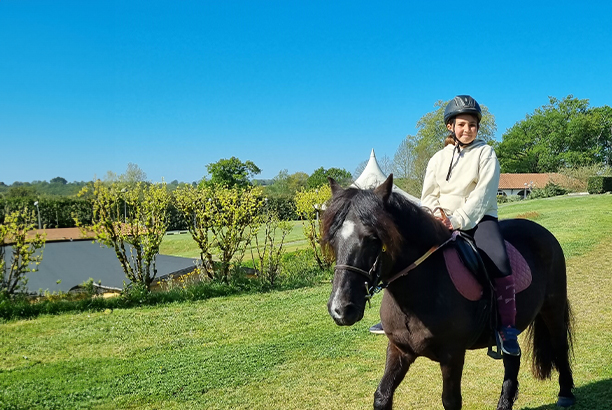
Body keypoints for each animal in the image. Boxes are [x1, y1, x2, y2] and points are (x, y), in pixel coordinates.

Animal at [322, 176, 576, 410]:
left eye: (374, 238)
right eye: (333, 239)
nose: (341, 309)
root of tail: (542, 231)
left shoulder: (452, 355)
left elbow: (451, 401)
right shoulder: (399, 350)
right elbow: (382, 396)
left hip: (553, 309)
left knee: (559, 345)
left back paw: (565, 393)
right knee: (512, 361)